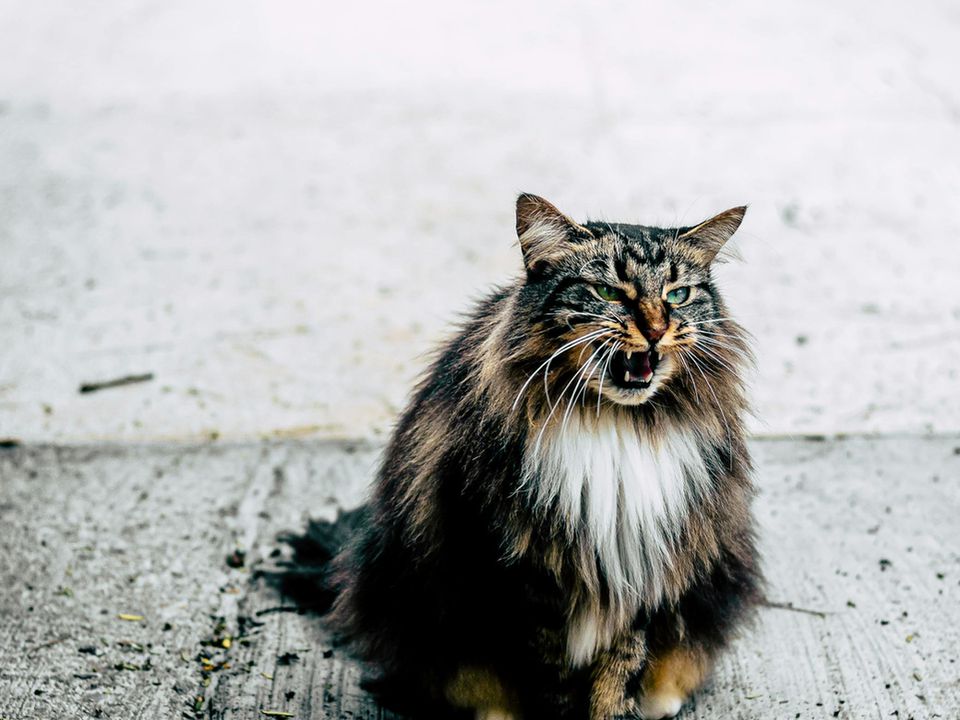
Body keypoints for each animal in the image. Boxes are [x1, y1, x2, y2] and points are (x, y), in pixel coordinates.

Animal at [304, 195, 760, 720]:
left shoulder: (643, 564)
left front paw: (616, 710)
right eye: (608, 291)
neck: (614, 424)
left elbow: (620, 668)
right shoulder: (525, 574)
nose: (657, 328)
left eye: (679, 295)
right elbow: (551, 677)